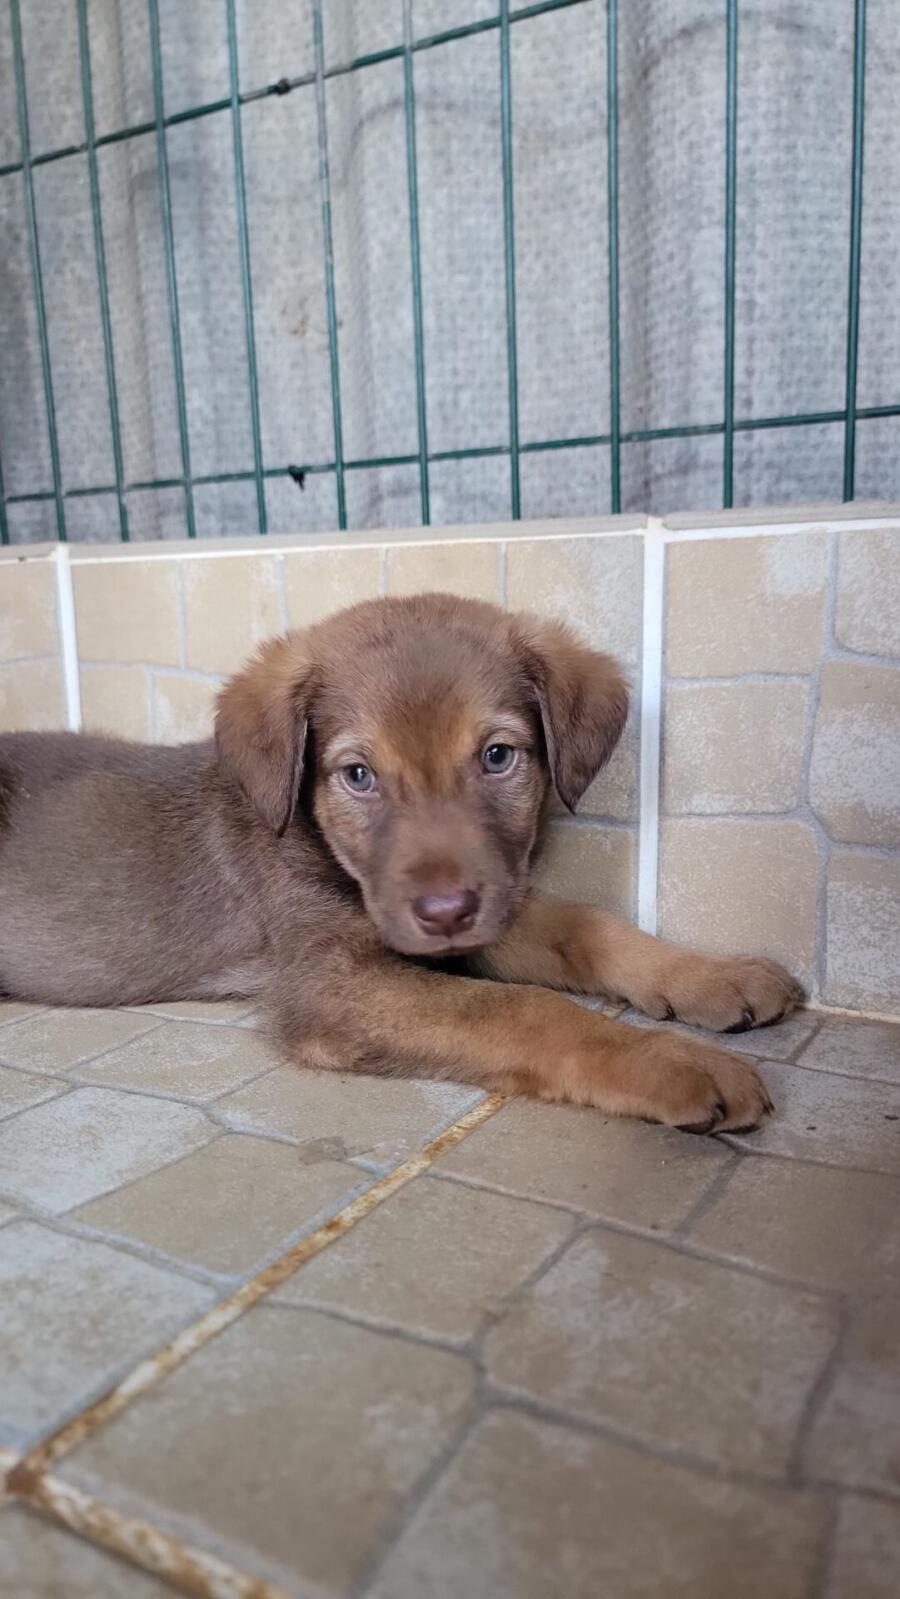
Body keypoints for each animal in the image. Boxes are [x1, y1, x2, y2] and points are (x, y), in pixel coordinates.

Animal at [0, 593, 803, 1133]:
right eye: (358, 775)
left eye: (497, 756)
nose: (445, 913)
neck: (324, 848)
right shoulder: (329, 984)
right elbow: (524, 1007)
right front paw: (671, 1062)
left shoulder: (491, 901)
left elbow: (591, 927)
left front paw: (711, 975)